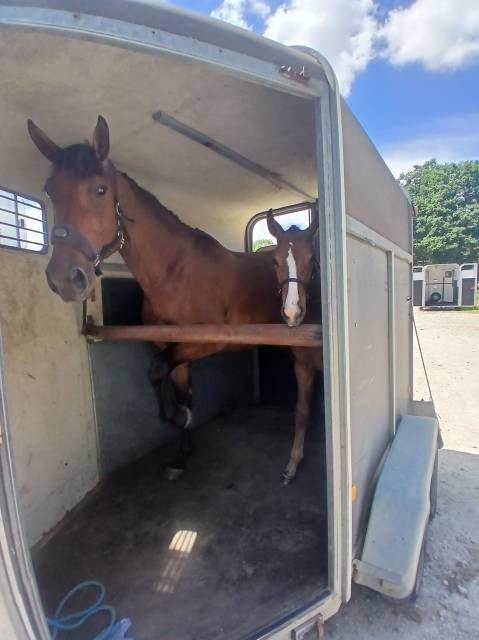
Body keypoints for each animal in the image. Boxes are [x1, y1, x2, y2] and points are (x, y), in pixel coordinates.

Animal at [27, 115, 321, 483]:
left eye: (100, 189)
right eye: (50, 190)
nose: (65, 278)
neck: (174, 272)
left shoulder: (205, 342)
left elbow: (158, 374)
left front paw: (179, 418)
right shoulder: (169, 344)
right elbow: (181, 391)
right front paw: (182, 454)